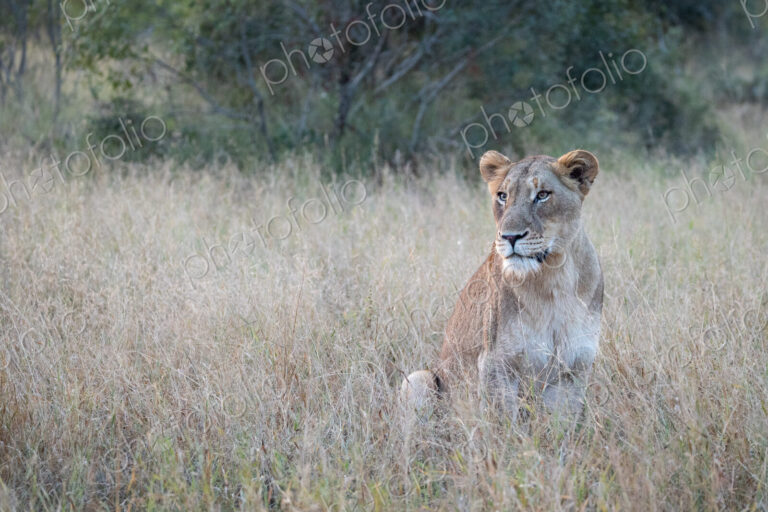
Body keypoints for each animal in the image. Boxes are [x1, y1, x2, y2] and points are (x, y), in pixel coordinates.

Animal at [400, 149, 603, 419]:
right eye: (502, 196)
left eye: (542, 195)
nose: (510, 236)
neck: (554, 279)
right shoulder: (495, 363)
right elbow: (503, 423)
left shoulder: (574, 367)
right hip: (418, 378)